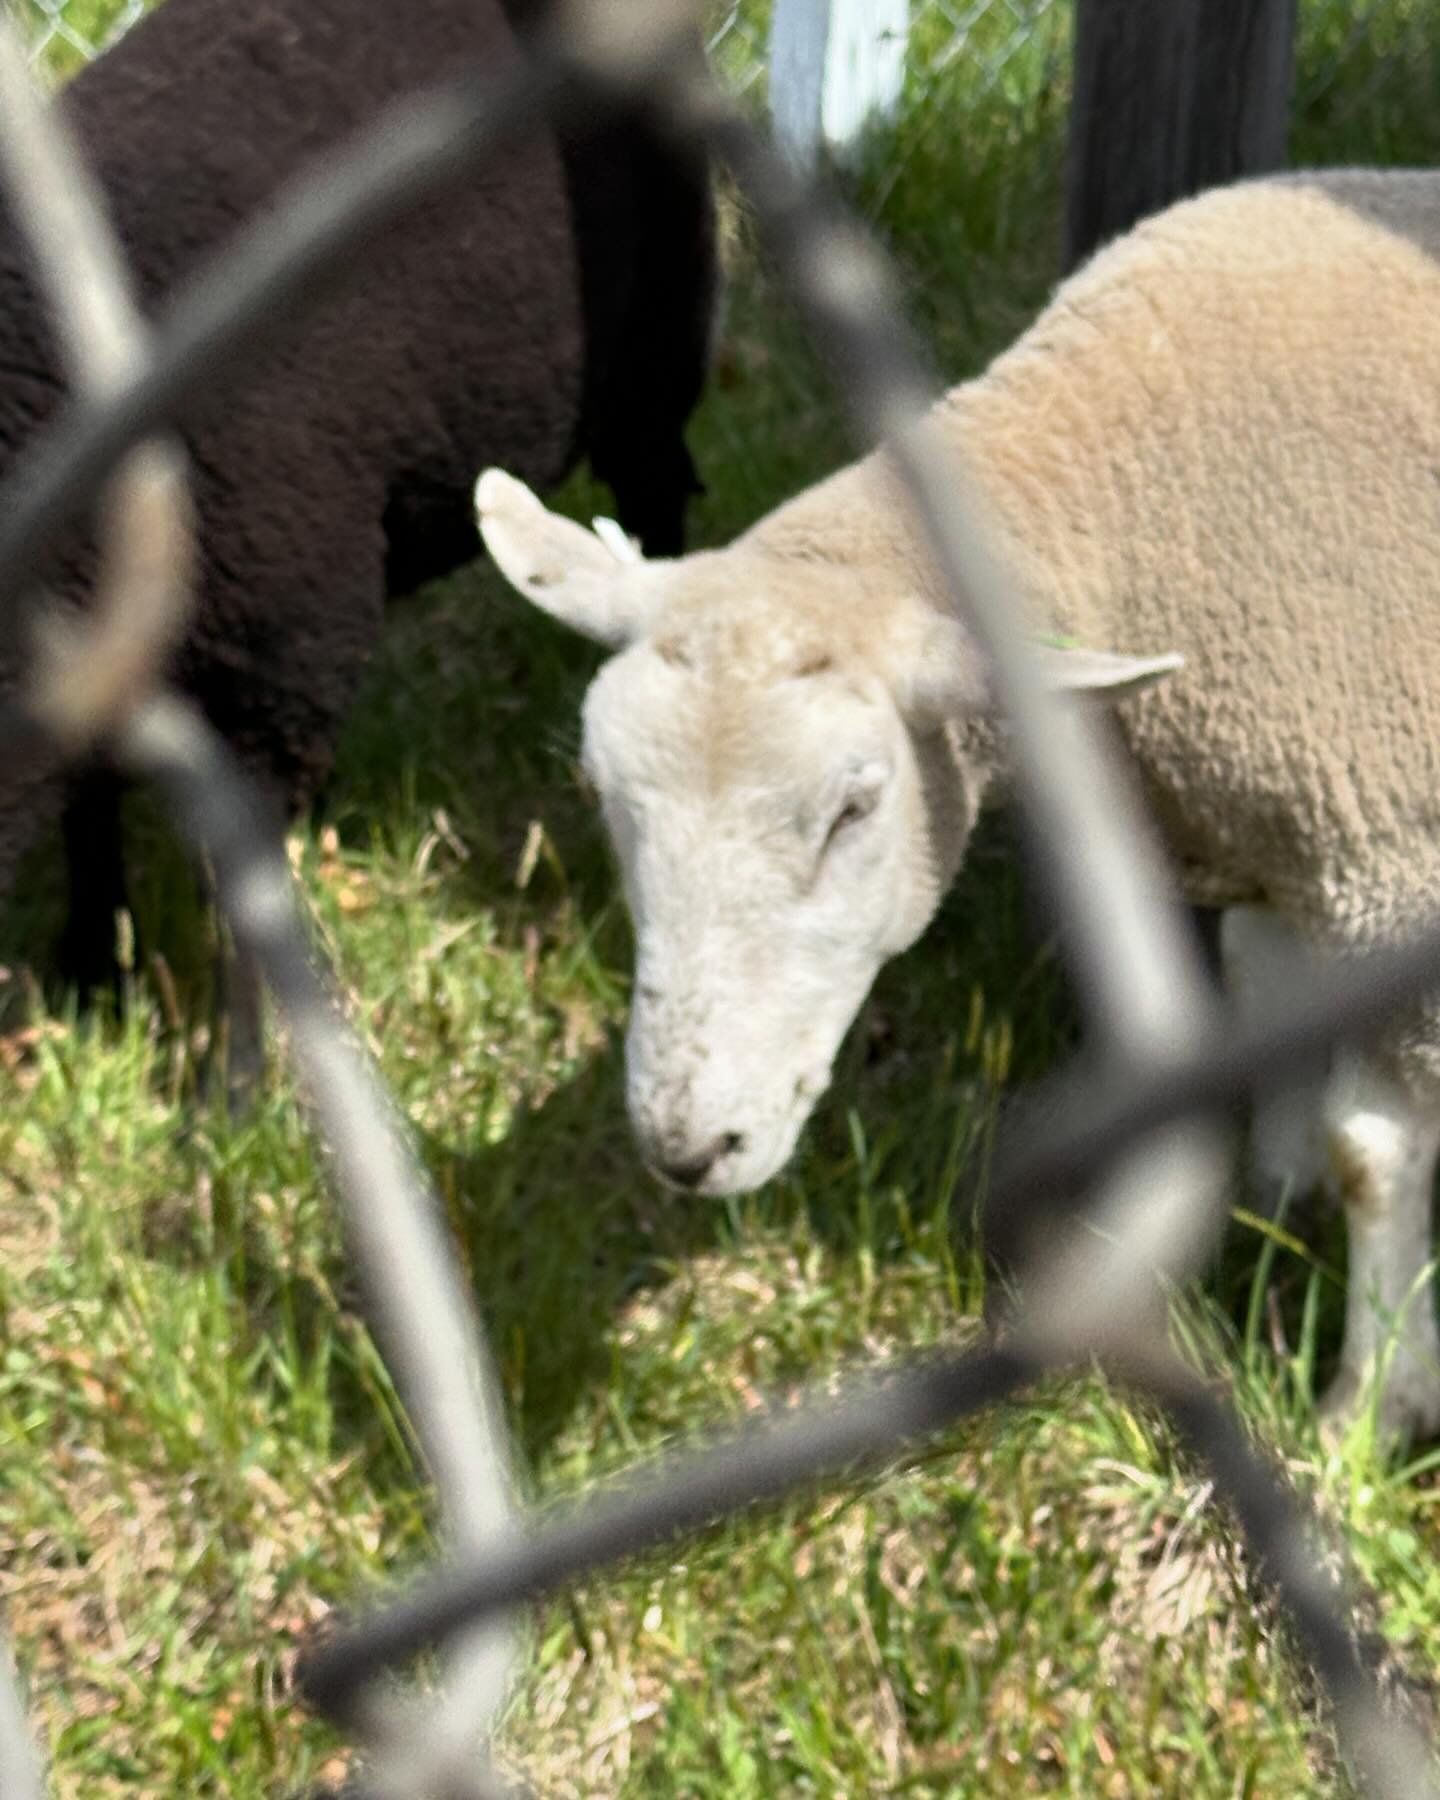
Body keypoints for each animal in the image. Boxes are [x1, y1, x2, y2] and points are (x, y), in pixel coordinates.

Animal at [0, 0, 716, 993]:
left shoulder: (281, 670)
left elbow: (240, 903)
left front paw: (241, 1037)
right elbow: (88, 806)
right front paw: (96, 970)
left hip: (654, 348)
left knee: (657, 498)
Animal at [478, 169, 1440, 1432]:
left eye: (852, 810)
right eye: (599, 792)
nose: (685, 1149)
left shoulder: (1395, 873)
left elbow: (1374, 1153)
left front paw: (1366, 1409)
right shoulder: (1279, 837)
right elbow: (1262, 996)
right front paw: (1275, 1197)